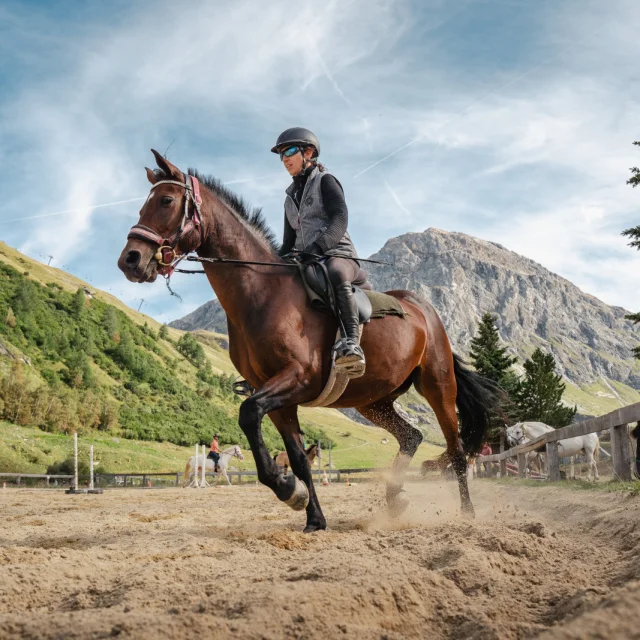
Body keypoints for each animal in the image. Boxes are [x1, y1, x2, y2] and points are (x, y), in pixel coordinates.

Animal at [117, 150, 502, 528]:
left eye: (166, 201)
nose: (130, 260)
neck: (263, 294)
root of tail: (422, 308)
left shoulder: (298, 379)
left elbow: (248, 412)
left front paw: (287, 488)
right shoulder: (279, 398)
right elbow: (297, 457)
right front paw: (308, 511)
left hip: (438, 386)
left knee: (456, 449)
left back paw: (467, 514)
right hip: (373, 400)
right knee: (412, 436)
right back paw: (395, 497)